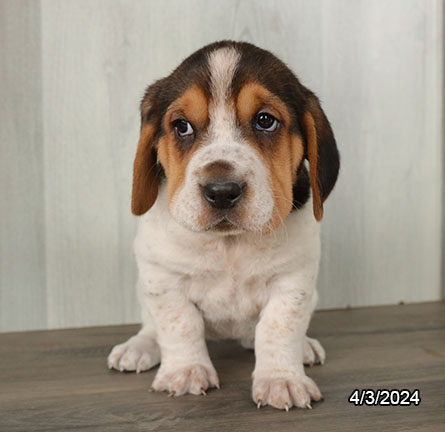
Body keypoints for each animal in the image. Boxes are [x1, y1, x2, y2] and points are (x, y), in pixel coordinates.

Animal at [108, 41, 340, 412]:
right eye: (182, 126)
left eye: (265, 121)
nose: (221, 191)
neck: (230, 243)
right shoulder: (162, 278)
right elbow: (179, 324)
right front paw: (186, 372)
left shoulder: (293, 282)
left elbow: (278, 328)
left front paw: (281, 379)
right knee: (150, 326)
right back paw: (138, 347)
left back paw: (303, 347)